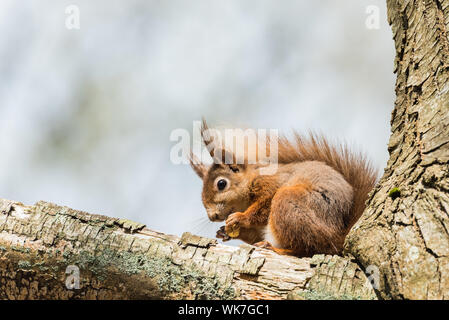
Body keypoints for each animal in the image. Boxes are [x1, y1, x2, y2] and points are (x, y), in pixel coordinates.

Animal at [188, 120, 374, 258]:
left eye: (221, 184)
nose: (212, 216)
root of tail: (338, 237)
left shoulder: (272, 184)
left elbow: (263, 206)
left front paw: (241, 218)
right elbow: (254, 234)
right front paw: (224, 232)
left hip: (289, 202)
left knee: (309, 249)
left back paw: (276, 249)